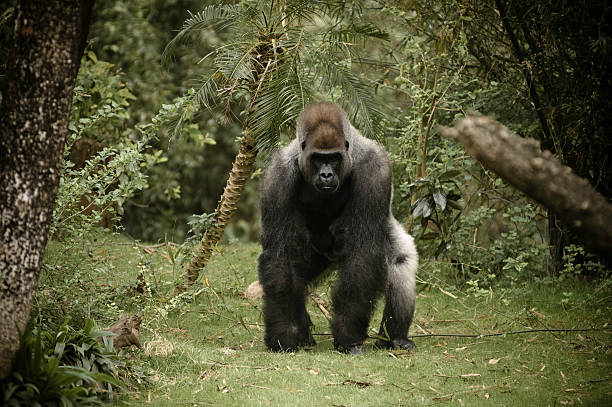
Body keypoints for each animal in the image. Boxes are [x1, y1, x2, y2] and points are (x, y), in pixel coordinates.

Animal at [256, 103, 418, 356]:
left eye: (333, 158)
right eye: (318, 158)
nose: (326, 175)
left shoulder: (375, 171)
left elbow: (362, 253)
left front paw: (348, 335)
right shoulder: (277, 177)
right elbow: (280, 254)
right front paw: (285, 334)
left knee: (400, 263)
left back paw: (395, 338)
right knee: (296, 275)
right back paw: (303, 334)